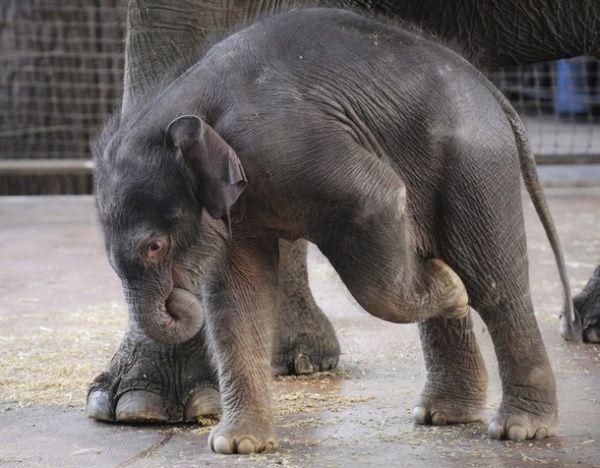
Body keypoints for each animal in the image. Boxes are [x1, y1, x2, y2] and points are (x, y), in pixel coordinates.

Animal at [86, 0, 600, 424]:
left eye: (155, 246)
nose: (177, 298)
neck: (188, 103)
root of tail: (498, 97)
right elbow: (237, 292)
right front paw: (240, 441)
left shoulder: (286, 144)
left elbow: (377, 197)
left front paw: (449, 287)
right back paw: (443, 414)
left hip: (474, 162)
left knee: (493, 283)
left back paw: (520, 426)